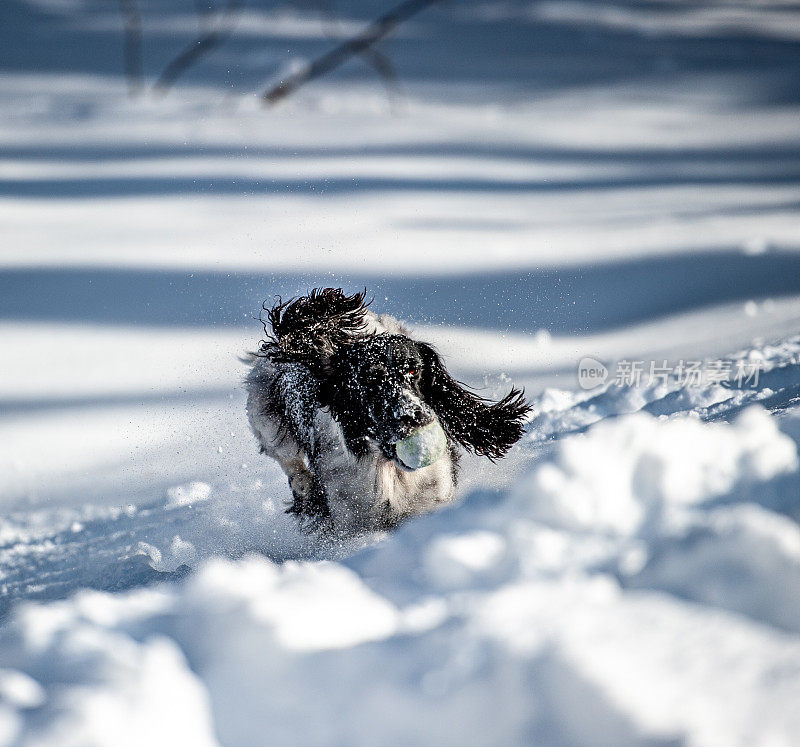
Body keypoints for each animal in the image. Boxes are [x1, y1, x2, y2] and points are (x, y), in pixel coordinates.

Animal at [245, 290, 532, 536]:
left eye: (414, 370)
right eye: (371, 379)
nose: (414, 416)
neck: (390, 469)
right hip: (268, 425)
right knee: (295, 469)